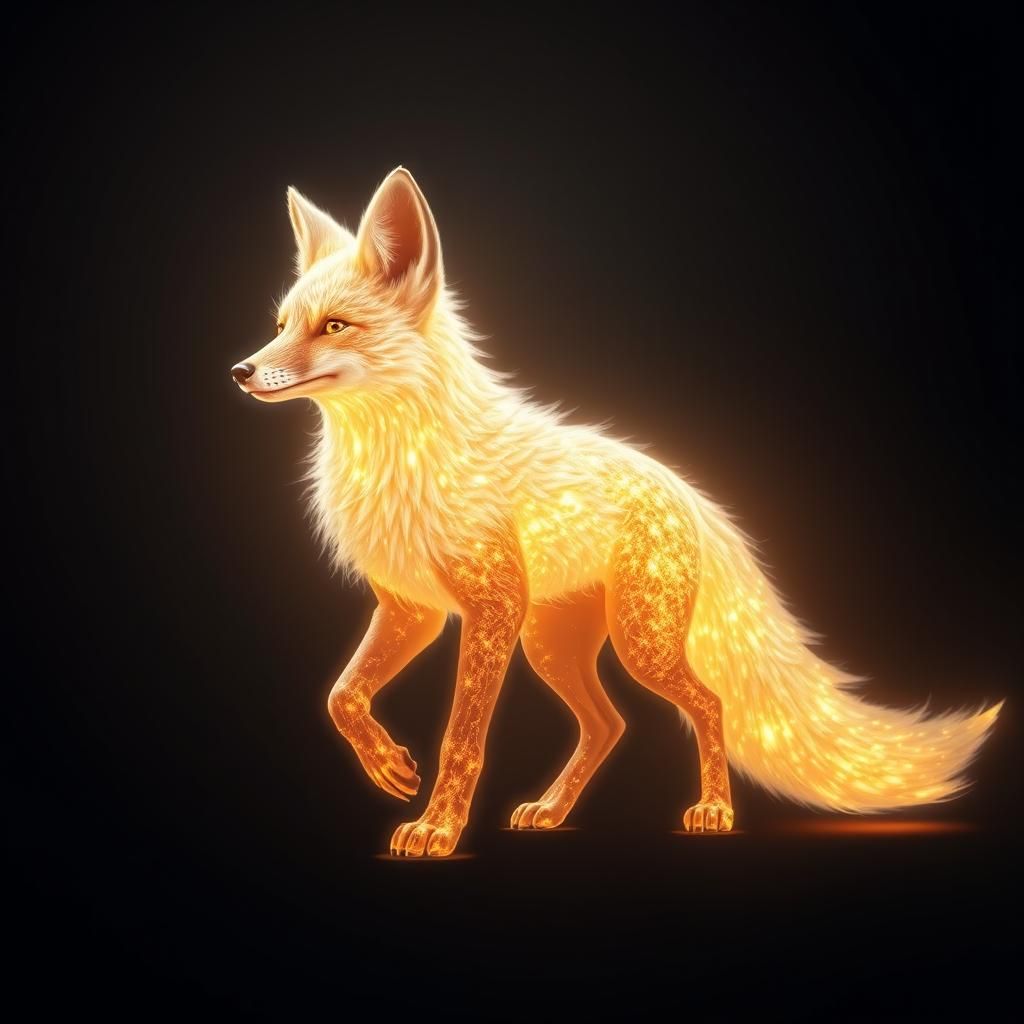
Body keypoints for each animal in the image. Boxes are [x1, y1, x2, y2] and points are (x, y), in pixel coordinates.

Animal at [232, 167, 1002, 857]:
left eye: (334, 326)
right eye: (280, 325)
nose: (240, 371)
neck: (400, 460)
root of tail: (684, 488)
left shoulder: (490, 609)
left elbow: (462, 738)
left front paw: (438, 830)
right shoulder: (411, 609)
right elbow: (341, 697)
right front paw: (388, 765)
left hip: (635, 643)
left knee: (707, 703)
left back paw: (714, 812)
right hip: (551, 645)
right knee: (609, 726)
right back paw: (550, 811)